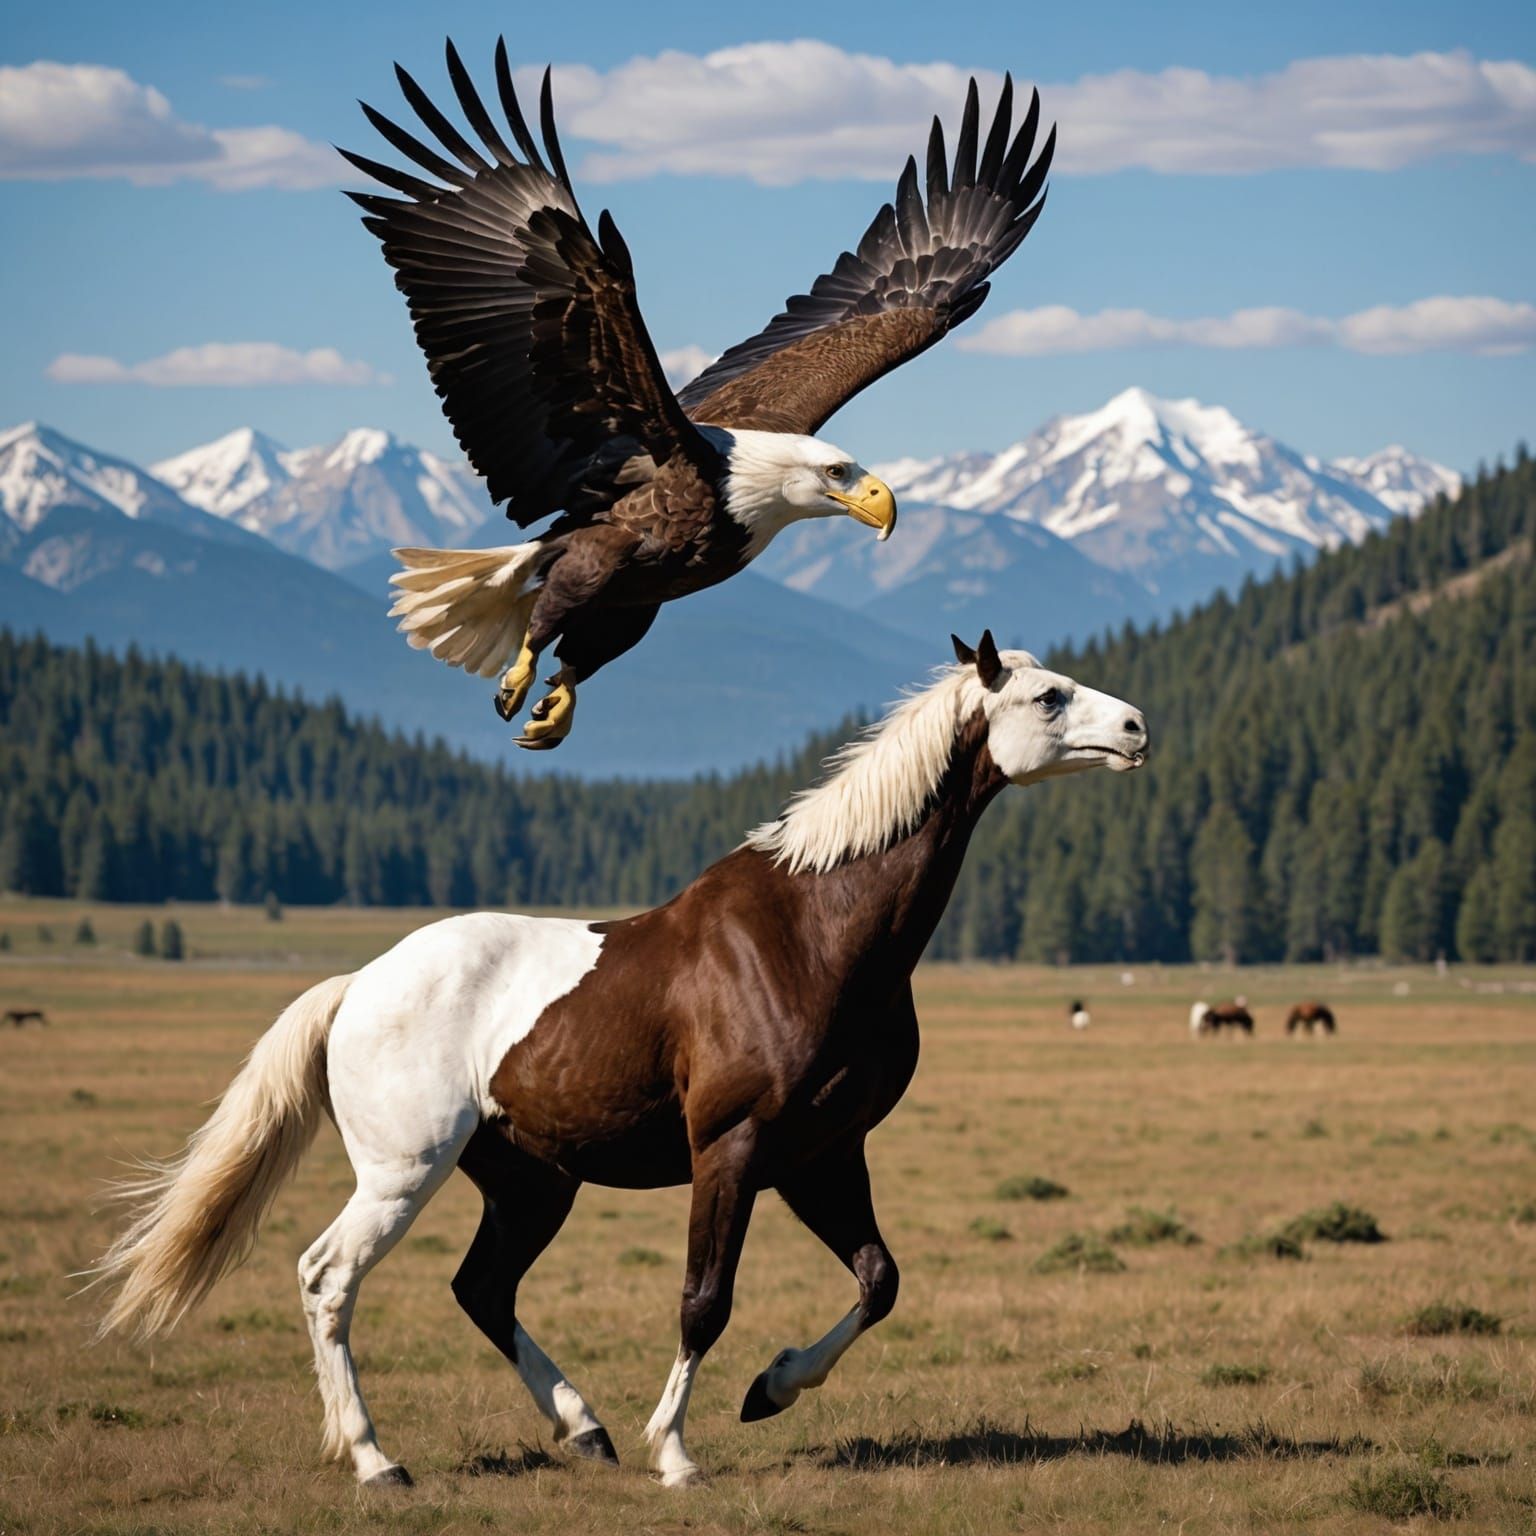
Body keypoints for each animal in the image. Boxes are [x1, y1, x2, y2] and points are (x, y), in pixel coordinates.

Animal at [91, 631, 1147, 1490]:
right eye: (1047, 697)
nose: (1137, 728)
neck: (812, 932)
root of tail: (357, 985)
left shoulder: (819, 1155)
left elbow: (879, 1282)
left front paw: (771, 1389)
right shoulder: (732, 1148)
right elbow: (703, 1302)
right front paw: (676, 1453)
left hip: (530, 1183)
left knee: (481, 1289)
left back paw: (582, 1429)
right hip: (403, 1173)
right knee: (328, 1279)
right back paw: (376, 1460)